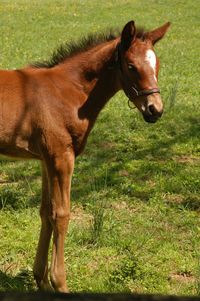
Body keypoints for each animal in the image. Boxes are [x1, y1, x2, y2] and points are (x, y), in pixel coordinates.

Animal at [0, 20, 170, 290]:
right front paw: (59, 282)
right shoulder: (62, 157)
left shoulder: (46, 159)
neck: (69, 92)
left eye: (157, 65)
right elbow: (61, 214)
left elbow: (46, 212)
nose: (155, 110)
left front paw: (41, 279)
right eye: (131, 66)